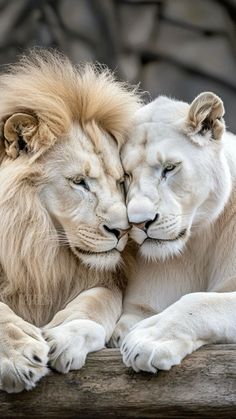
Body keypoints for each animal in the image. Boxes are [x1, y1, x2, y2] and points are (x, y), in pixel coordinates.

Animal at [0, 50, 140, 392]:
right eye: (79, 182)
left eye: (121, 181)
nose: (123, 230)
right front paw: (18, 354)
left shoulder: (105, 281)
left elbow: (98, 301)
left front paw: (67, 336)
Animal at [110, 92, 236, 374]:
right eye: (126, 176)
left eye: (169, 168)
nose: (140, 222)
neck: (198, 240)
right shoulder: (144, 302)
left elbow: (199, 301)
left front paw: (148, 339)